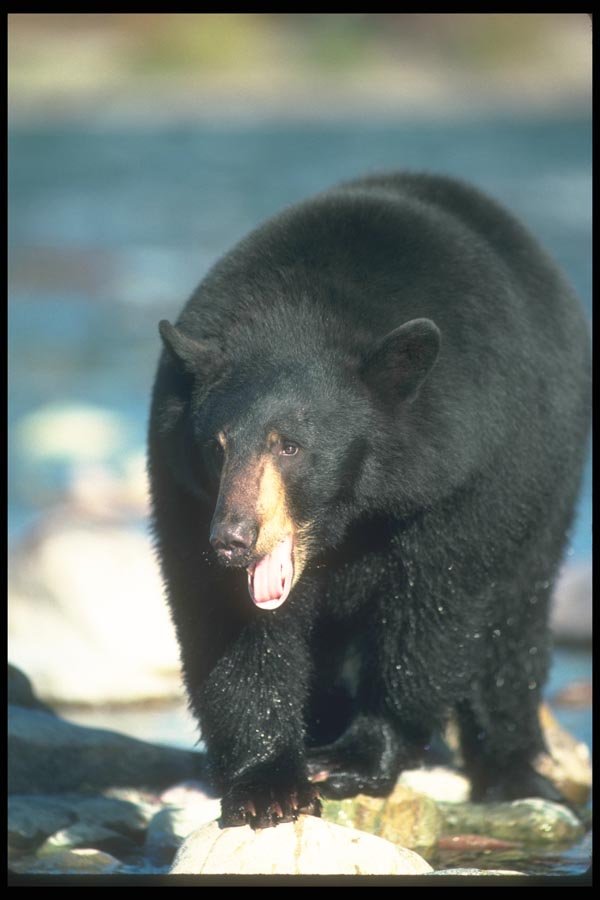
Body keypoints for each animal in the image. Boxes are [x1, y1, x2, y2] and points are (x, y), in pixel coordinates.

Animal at [148, 172, 591, 829]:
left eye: (291, 446)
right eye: (217, 445)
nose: (231, 538)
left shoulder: (463, 468)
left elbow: (434, 610)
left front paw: (356, 756)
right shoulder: (182, 490)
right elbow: (231, 629)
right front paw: (268, 783)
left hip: (548, 475)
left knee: (514, 620)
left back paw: (515, 769)